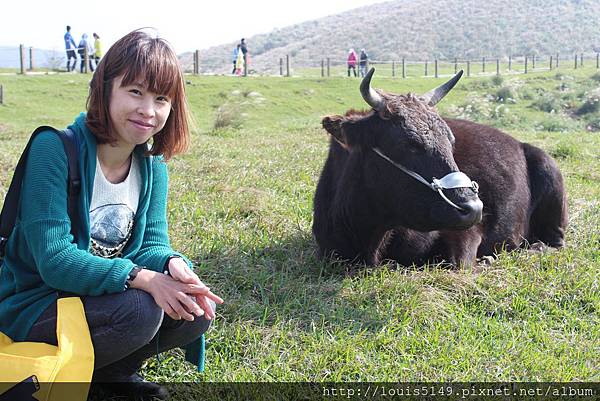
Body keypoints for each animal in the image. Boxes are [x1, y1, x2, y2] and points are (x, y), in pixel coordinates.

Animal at [314, 69, 568, 266]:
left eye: (451, 141)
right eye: (408, 144)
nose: (473, 208)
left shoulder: (468, 233)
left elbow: (458, 263)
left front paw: (486, 260)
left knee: (554, 242)